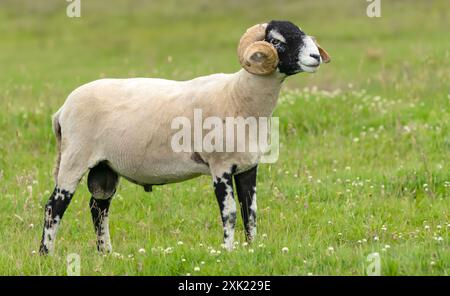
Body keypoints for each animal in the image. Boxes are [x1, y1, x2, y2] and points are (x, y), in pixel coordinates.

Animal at [39, 19, 330, 254]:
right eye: (276, 41)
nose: (315, 56)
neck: (238, 96)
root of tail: (62, 110)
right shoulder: (220, 166)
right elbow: (230, 213)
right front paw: (227, 251)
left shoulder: (248, 166)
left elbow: (251, 212)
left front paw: (251, 249)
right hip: (74, 158)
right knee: (54, 206)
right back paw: (46, 254)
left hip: (104, 167)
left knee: (98, 207)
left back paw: (106, 254)